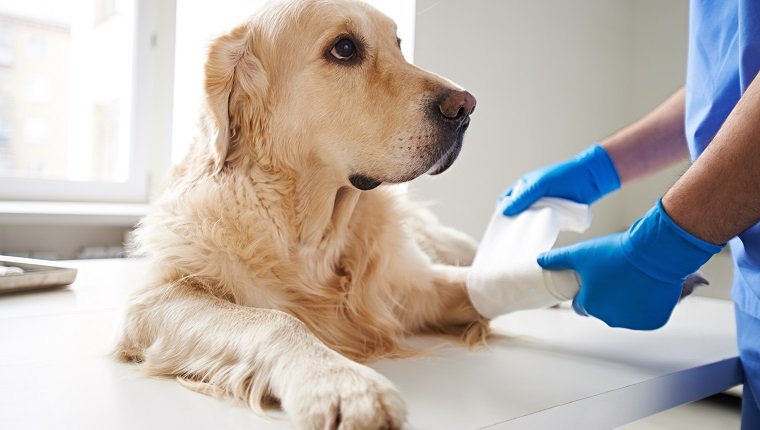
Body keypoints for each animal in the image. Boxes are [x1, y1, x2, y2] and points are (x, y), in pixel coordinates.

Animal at [116, 0, 490, 426]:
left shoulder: (410, 287)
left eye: (397, 43)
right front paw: (342, 385)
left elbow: (479, 284)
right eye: (344, 49)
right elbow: (275, 320)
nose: (465, 106)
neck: (312, 233)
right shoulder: (156, 298)